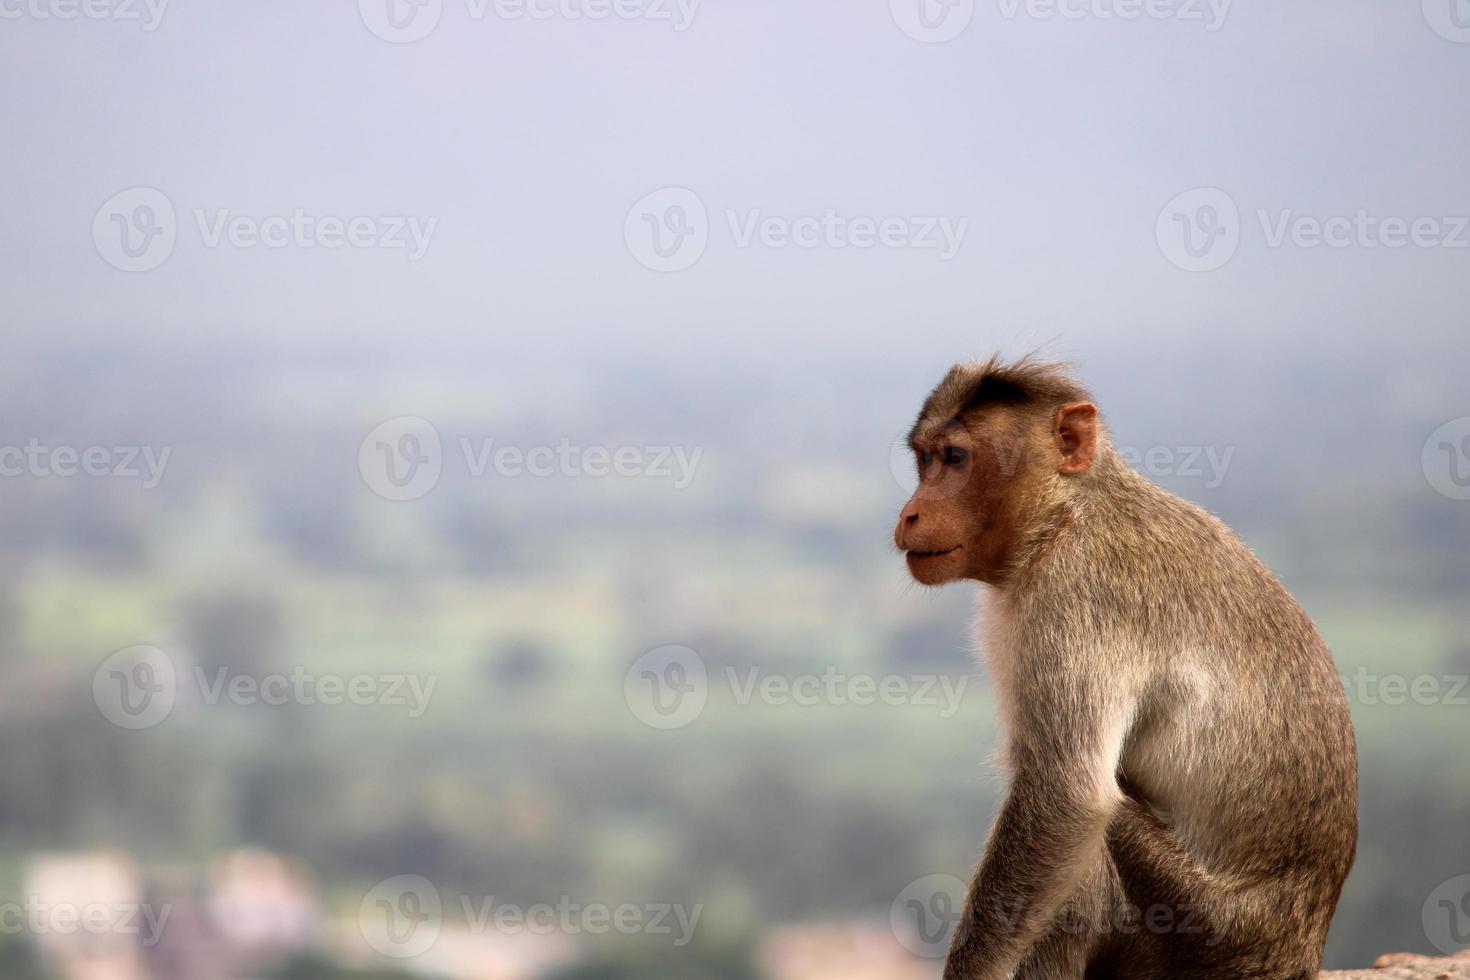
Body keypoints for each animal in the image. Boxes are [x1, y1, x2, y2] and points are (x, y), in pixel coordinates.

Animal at [893, 357, 1364, 975]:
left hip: (1204, 936)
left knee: (1098, 829)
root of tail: (1300, 950)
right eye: (924, 458)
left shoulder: (1073, 595)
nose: (909, 512)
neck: (1063, 515)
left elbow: (1067, 794)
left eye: (954, 458)